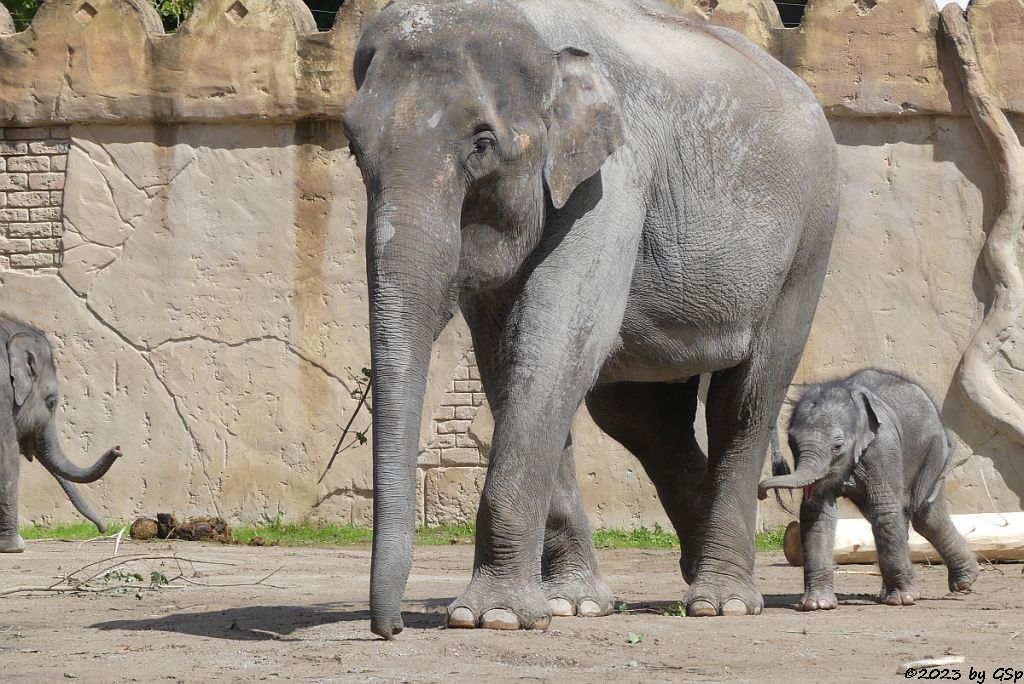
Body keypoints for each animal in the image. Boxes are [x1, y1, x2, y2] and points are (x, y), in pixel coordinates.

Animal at [344, 1, 839, 643]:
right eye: (352, 146)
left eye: (482, 143)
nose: (391, 628)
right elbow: (509, 359)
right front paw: (568, 605)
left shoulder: (612, 183)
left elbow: (556, 339)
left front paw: (490, 616)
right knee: (642, 419)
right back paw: (695, 571)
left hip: (809, 242)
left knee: (745, 399)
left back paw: (722, 601)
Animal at [757, 370, 978, 610]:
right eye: (792, 443)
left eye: (837, 446)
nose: (762, 493)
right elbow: (817, 514)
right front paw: (817, 604)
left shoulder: (882, 446)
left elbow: (883, 506)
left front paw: (902, 600)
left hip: (932, 449)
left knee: (923, 515)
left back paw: (964, 582)